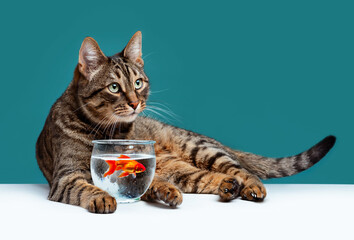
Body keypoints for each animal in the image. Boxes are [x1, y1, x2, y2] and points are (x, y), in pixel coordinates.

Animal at [35, 31, 334, 213]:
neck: (113, 132)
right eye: (114, 88)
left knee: (240, 170)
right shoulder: (67, 177)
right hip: (182, 169)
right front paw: (104, 196)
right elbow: (87, 188)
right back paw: (227, 187)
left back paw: (250, 187)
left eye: (138, 83)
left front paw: (158, 191)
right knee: (205, 177)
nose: (135, 103)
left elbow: (146, 183)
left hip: (200, 148)